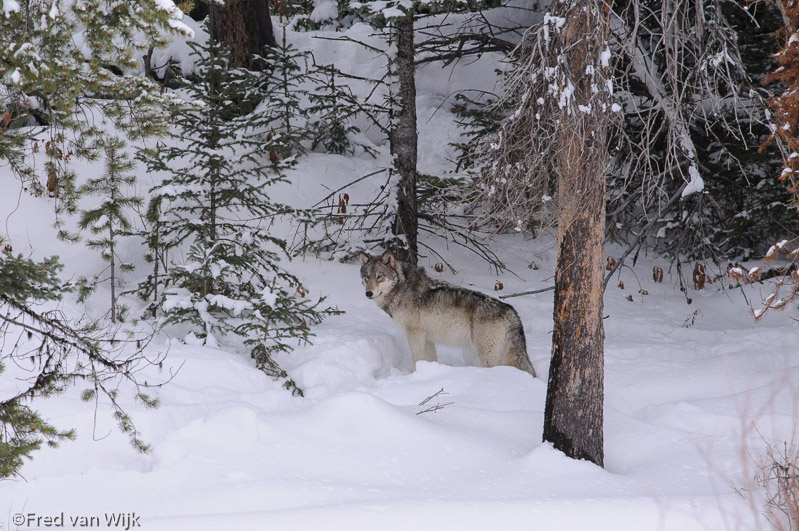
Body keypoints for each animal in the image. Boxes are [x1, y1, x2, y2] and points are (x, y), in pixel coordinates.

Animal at [359, 250, 536, 377]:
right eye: (366, 277)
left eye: (379, 277)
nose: (368, 293)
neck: (401, 288)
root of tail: (511, 310)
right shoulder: (427, 338)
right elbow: (429, 360)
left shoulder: (414, 334)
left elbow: (416, 360)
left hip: (486, 355)